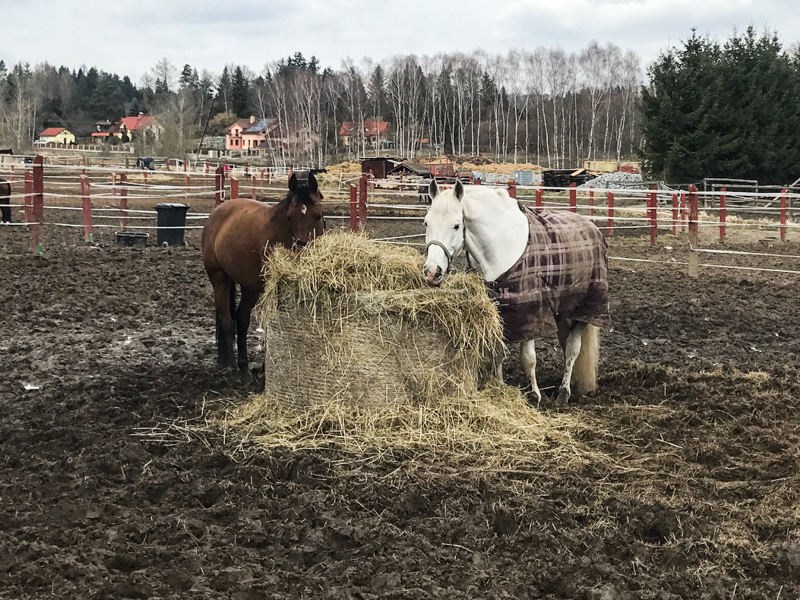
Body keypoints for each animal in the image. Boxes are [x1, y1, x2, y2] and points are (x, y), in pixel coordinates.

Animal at [203, 169, 324, 372]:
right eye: (290, 217)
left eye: (318, 215)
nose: (301, 254)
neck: (283, 232)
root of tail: (216, 213)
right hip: (220, 279)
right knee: (227, 322)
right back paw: (233, 368)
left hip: (249, 287)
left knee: (241, 320)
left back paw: (243, 366)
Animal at [422, 178, 608, 404]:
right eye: (426, 223)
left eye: (457, 225)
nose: (432, 272)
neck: (501, 247)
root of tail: (592, 226)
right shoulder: (499, 315)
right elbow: (498, 352)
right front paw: (499, 386)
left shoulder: (529, 315)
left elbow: (528, 358)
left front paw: (534, 396)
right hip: (563, 311)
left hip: (586, 310)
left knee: (573, 347)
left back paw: (564, 392)